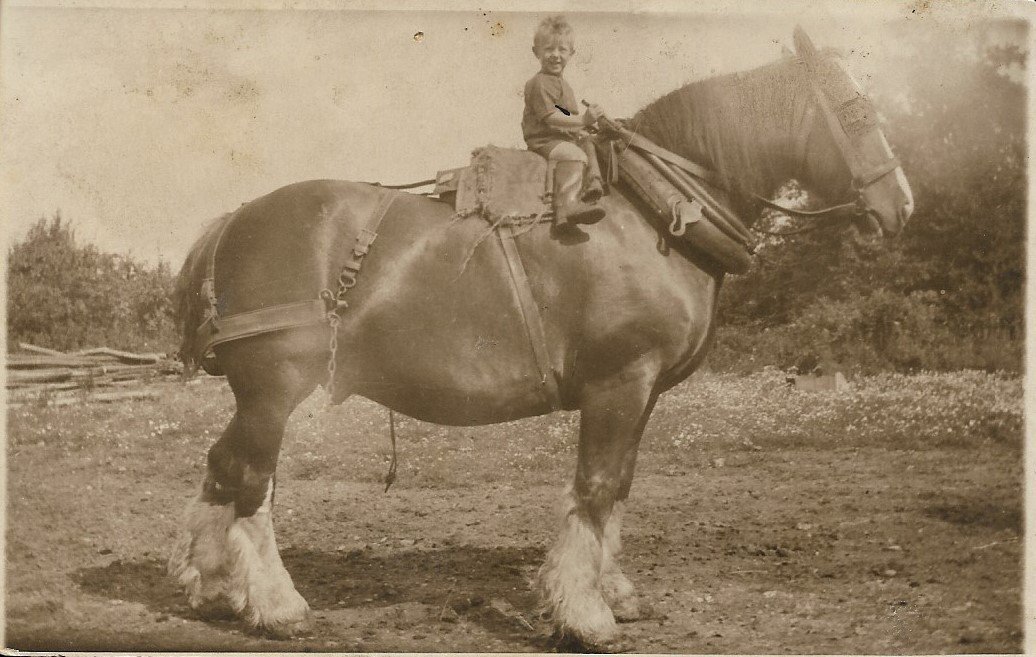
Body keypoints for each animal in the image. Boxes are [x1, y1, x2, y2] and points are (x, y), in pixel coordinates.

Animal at [168, 28, 913, 650]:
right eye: (856, 114)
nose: (900, 206)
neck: (654, 210)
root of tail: (234, 220)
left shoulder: (644, 391)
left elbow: (619, 487)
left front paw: (615, 592)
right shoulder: (620, 381)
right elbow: (596, 486)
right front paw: (585, 614)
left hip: (258, 394)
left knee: (223, 464)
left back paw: (212, 584)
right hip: (274, 388)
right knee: (251, 480)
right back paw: (275, 603)